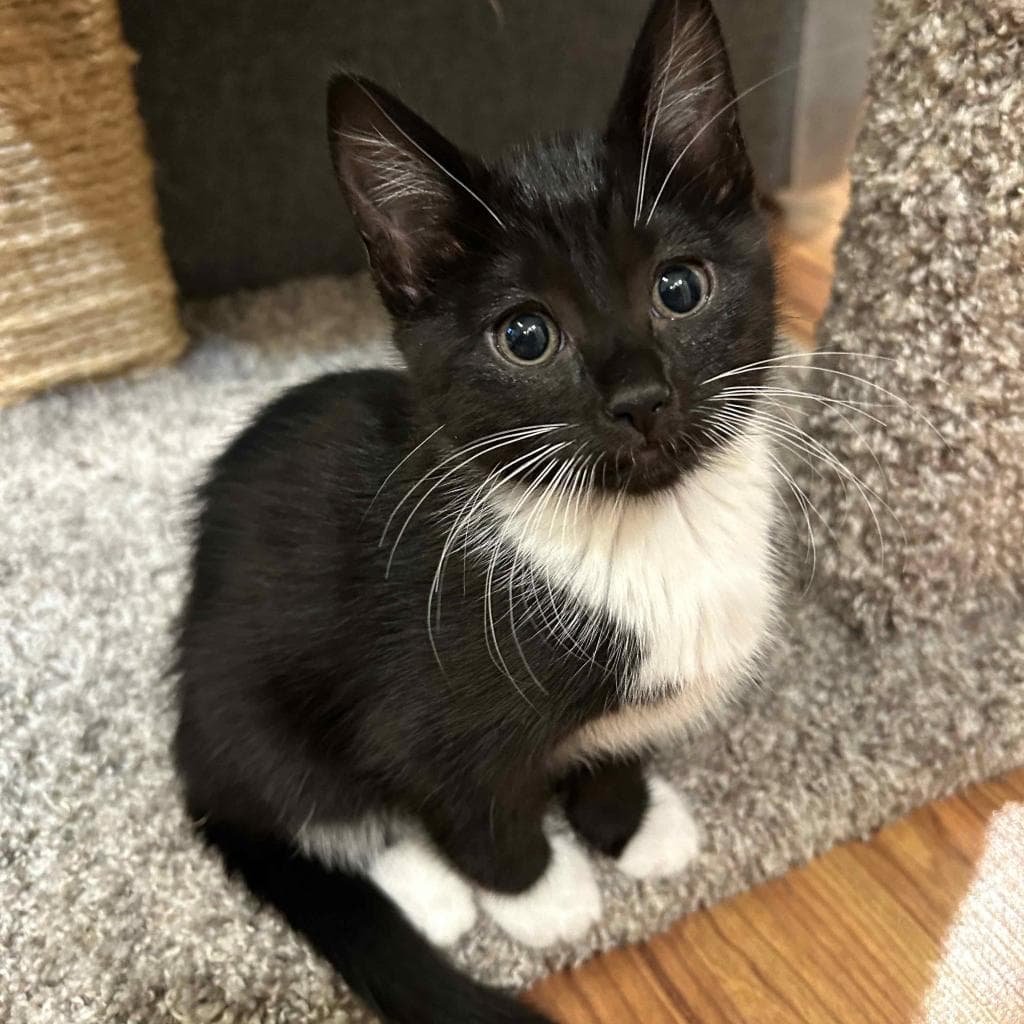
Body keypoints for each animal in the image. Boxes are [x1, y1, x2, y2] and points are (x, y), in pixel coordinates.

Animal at [176, 2, 778, 1024]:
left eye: (681, 287)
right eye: (526, 336)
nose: (642, 397)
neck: (640, 530)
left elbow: (613, 747)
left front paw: (628, 824)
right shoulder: (421, 704)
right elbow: (476, 808)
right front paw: (546, 896)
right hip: (247, 695)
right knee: (305, 800)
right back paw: (429, 896)